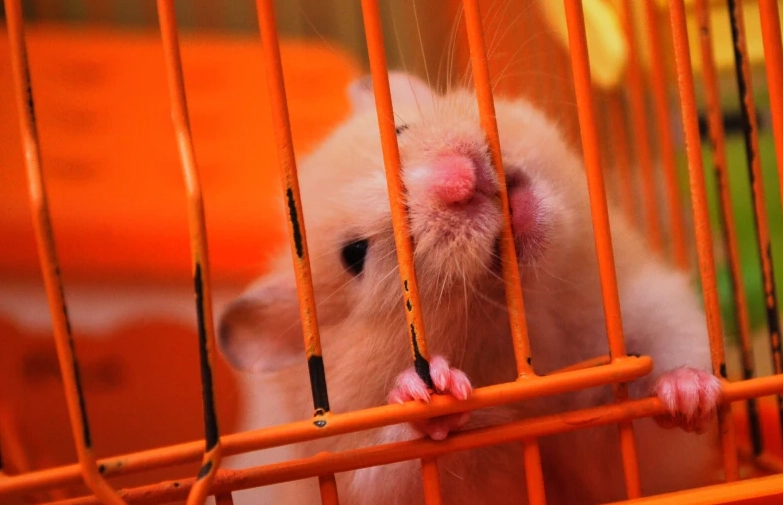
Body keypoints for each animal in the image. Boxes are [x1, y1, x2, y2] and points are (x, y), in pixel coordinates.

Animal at [217, 71, 723, 505]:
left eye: (399, 129)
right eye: (354, 256)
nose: (458, 180)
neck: (537, 328)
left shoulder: (653, 318)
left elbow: (656, 402)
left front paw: (691, 393)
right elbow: (404, 463)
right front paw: (432, 390)